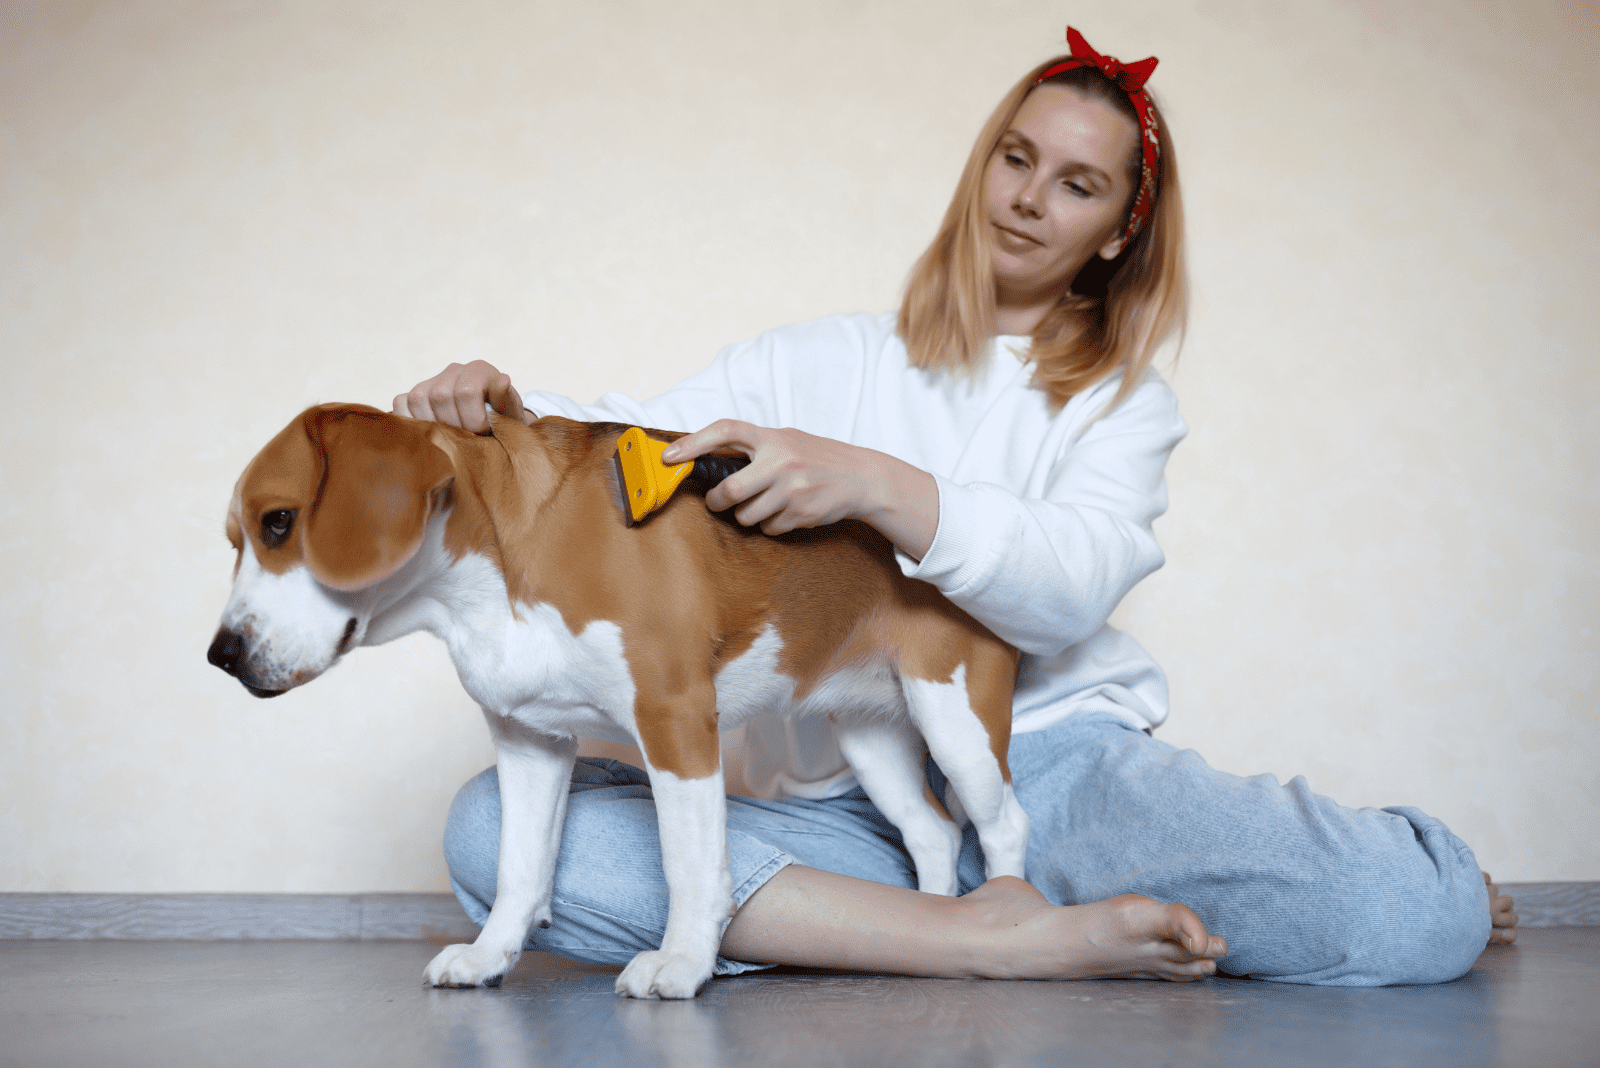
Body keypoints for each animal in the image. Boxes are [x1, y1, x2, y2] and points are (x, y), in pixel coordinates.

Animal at [209, 404, 1024, 997]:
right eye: (234, 541)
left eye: (279, 522)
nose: (221, 656)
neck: (491, 577)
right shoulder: (529, 742)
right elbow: (518, 869)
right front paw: (490, 956)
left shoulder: (676, 721)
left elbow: (688, 863)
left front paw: (683, 964)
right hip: (870, 732)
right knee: (933, 832)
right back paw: (934, 923)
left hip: (957, 722)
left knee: (1002, 825)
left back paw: (1005, 910)